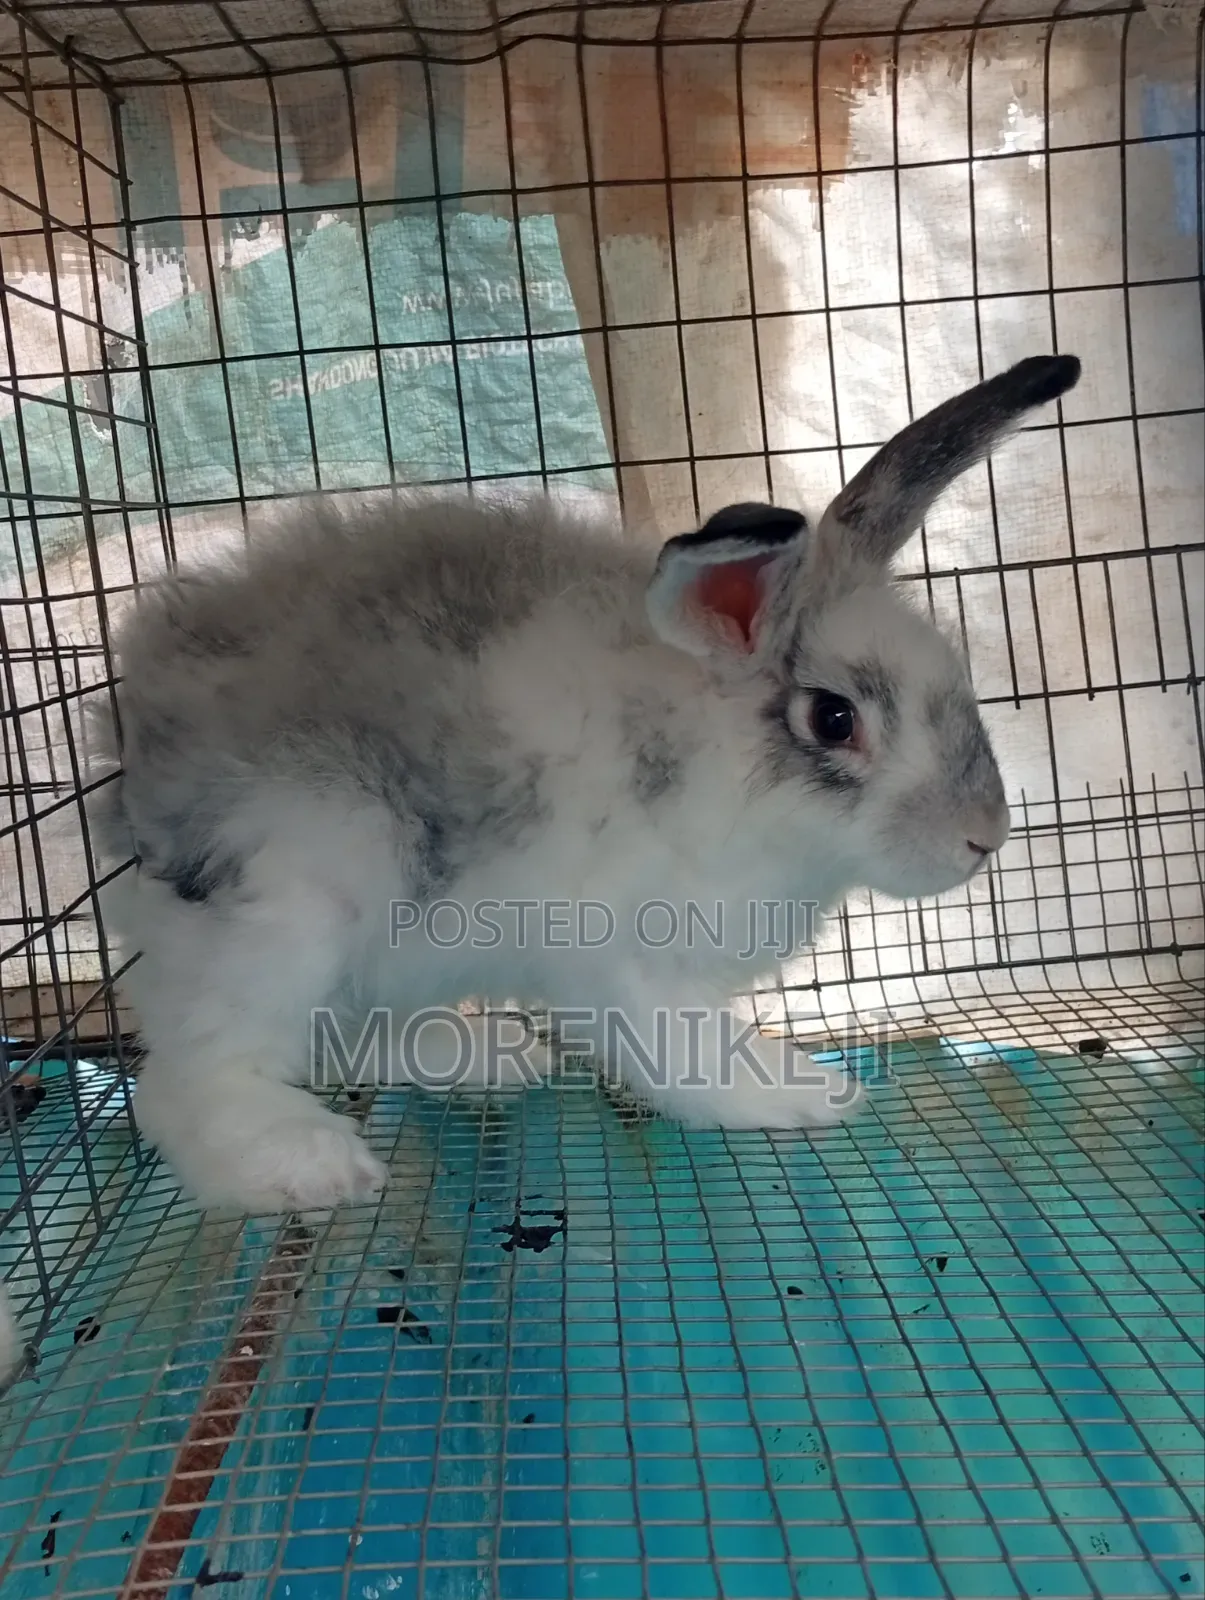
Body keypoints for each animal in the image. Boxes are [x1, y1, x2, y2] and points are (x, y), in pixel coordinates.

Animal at [88, 354, 1080, 1215]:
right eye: (834, 720)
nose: (982, 836)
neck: (700, 749)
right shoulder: (618, 953)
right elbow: (679, 1054)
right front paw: (798, 1094)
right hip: (302, 894)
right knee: (182, 1082)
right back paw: (308, 1163)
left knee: (342, 1035)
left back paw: (484, 1055)